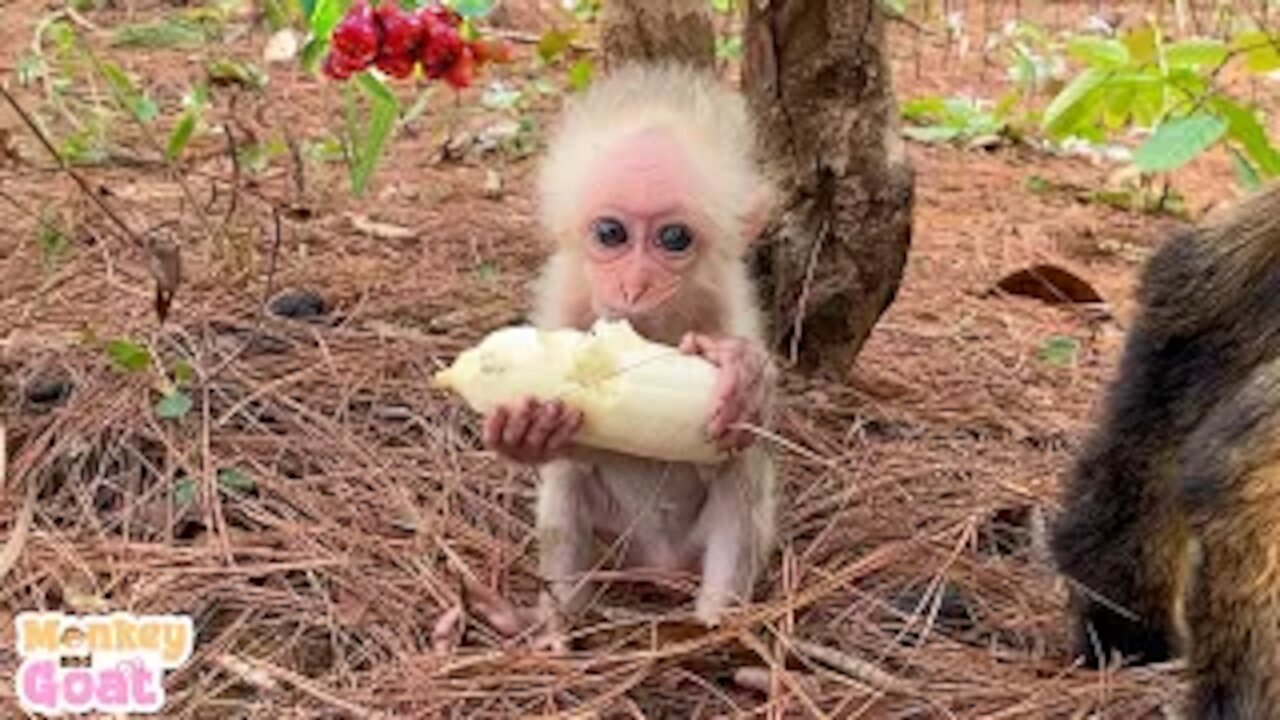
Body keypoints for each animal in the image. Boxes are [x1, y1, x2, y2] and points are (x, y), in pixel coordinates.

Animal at [481, 63, 778, 645]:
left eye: (674, 238)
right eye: (611, 233)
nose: (634, 286)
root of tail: (657, 565)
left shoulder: (727, 298)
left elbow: (742, 433)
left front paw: (743, 372)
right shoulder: (565, 296)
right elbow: (573, 448)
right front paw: (527, 431)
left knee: (740, 474)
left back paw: (717, 624)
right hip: (616, 546)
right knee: (566, 489)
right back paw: (556, 627)